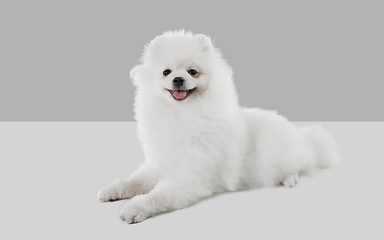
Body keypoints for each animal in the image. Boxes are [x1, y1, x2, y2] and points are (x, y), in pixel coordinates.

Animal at [97, 30, 340, 223]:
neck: (181, 115)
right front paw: (112, 189)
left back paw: (290, 178)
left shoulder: (192, 176)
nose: (178, 79)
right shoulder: (160, 162)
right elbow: (133, 180)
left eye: (192, 71)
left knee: (301, 165)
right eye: (166, 72)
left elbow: (160, 195)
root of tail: (303, 137)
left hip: (278, 156)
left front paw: (136, 207)